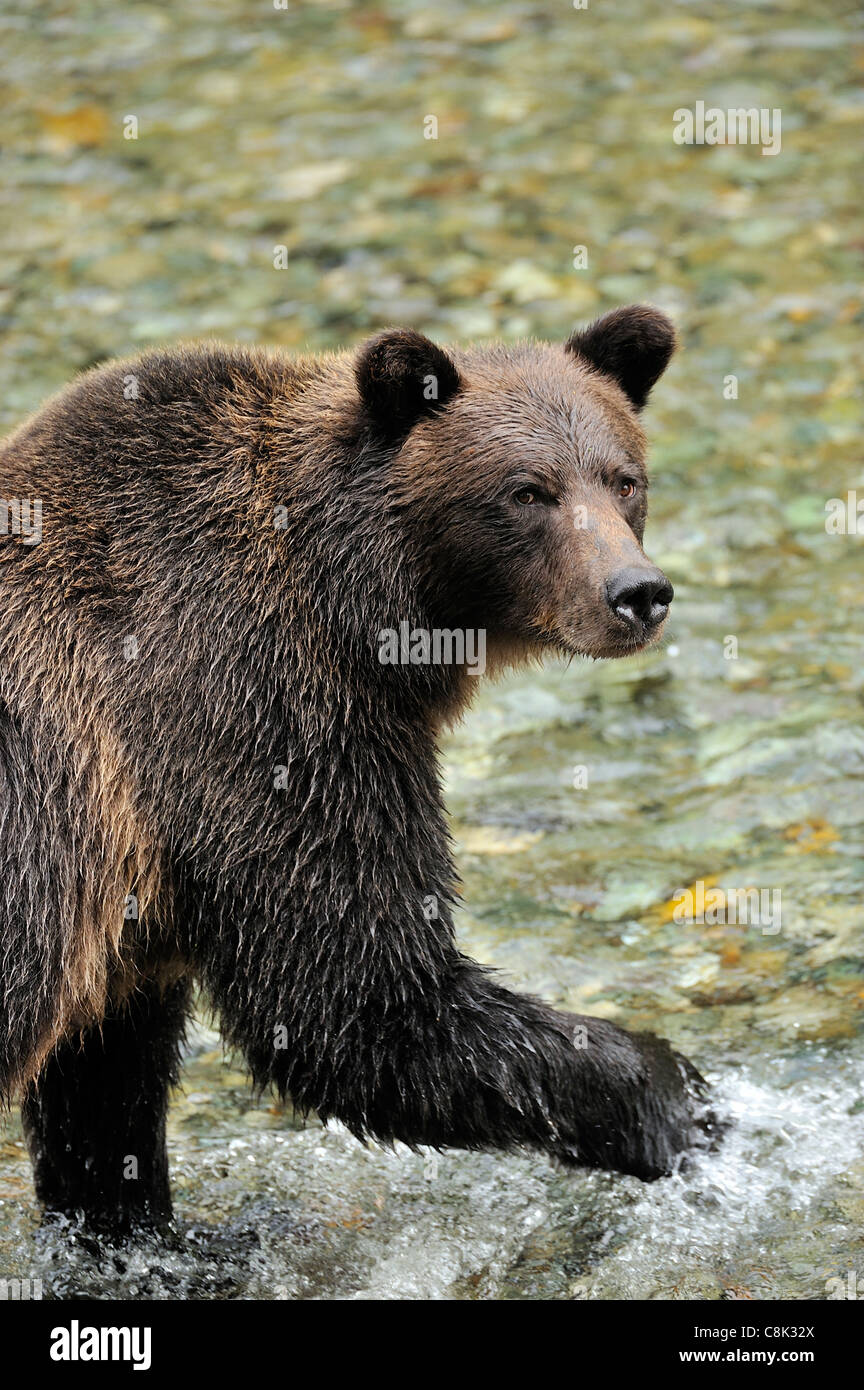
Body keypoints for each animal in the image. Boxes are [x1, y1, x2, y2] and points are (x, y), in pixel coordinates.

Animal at [0, 304, 716, 1228]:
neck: (357, 604)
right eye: (528, 490)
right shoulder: (248, 711)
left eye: (623, 478)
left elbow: (104, 1083)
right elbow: (354, 993)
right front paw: (670, 1090)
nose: (636, 592)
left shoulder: (127, 905)